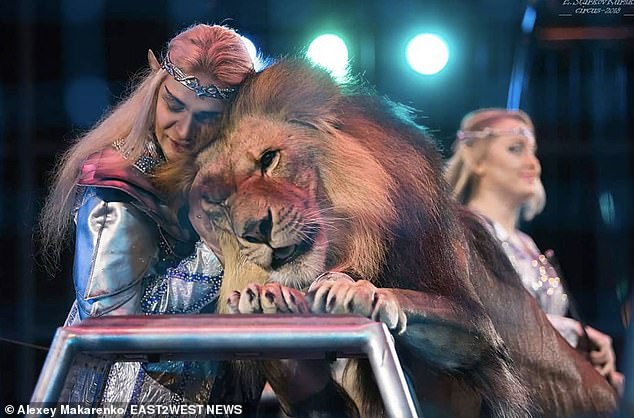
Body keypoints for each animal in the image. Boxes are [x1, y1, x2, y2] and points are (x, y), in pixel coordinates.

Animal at [158, 59, 616, 418]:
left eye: (269, 159)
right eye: (218, 202)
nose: (256, 230)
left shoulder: (477, 328)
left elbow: (449, 321)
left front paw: (358, 292)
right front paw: (264, 302)